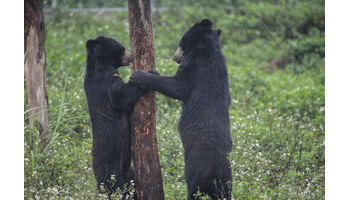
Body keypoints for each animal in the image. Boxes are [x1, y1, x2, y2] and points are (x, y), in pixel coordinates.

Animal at [85, 34, 145, 197]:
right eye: (121, 47)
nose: (131, 56)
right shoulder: (108, 83)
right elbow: (121, 95)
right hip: (112, 164)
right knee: (115, 185)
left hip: (127, 170)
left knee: (131, 182)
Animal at [130, 19, 234, 200]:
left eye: (180, 43)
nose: (174, 57)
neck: (205, 48)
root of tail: (217, 171)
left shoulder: (195, 67)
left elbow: (177, 87)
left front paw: (140, 75)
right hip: (226, 182)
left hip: (195, 170)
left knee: (193, 189)